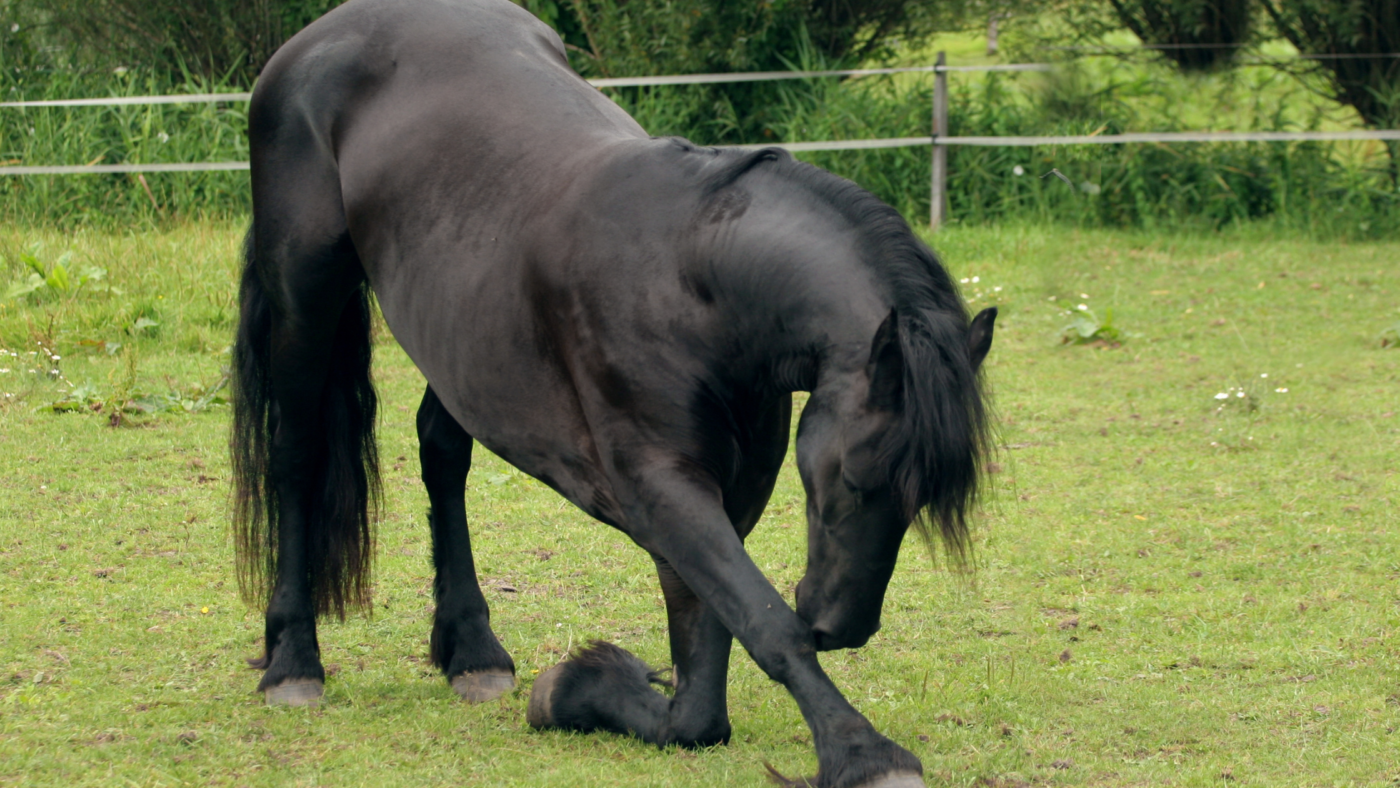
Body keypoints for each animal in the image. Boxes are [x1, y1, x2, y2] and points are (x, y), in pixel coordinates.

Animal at [232, 0, 996, 783]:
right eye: (854, 480)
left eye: (921, 500)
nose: (841, 627)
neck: (694, 283)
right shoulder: (659, 485)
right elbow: (761, 621)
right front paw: (861, 752)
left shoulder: (730, 491)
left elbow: (702, 688)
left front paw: (578, 689)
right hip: (306, 297)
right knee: (295, 458)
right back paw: (293, 660)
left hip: (458, 342)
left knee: (442, 456)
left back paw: (472, 650)